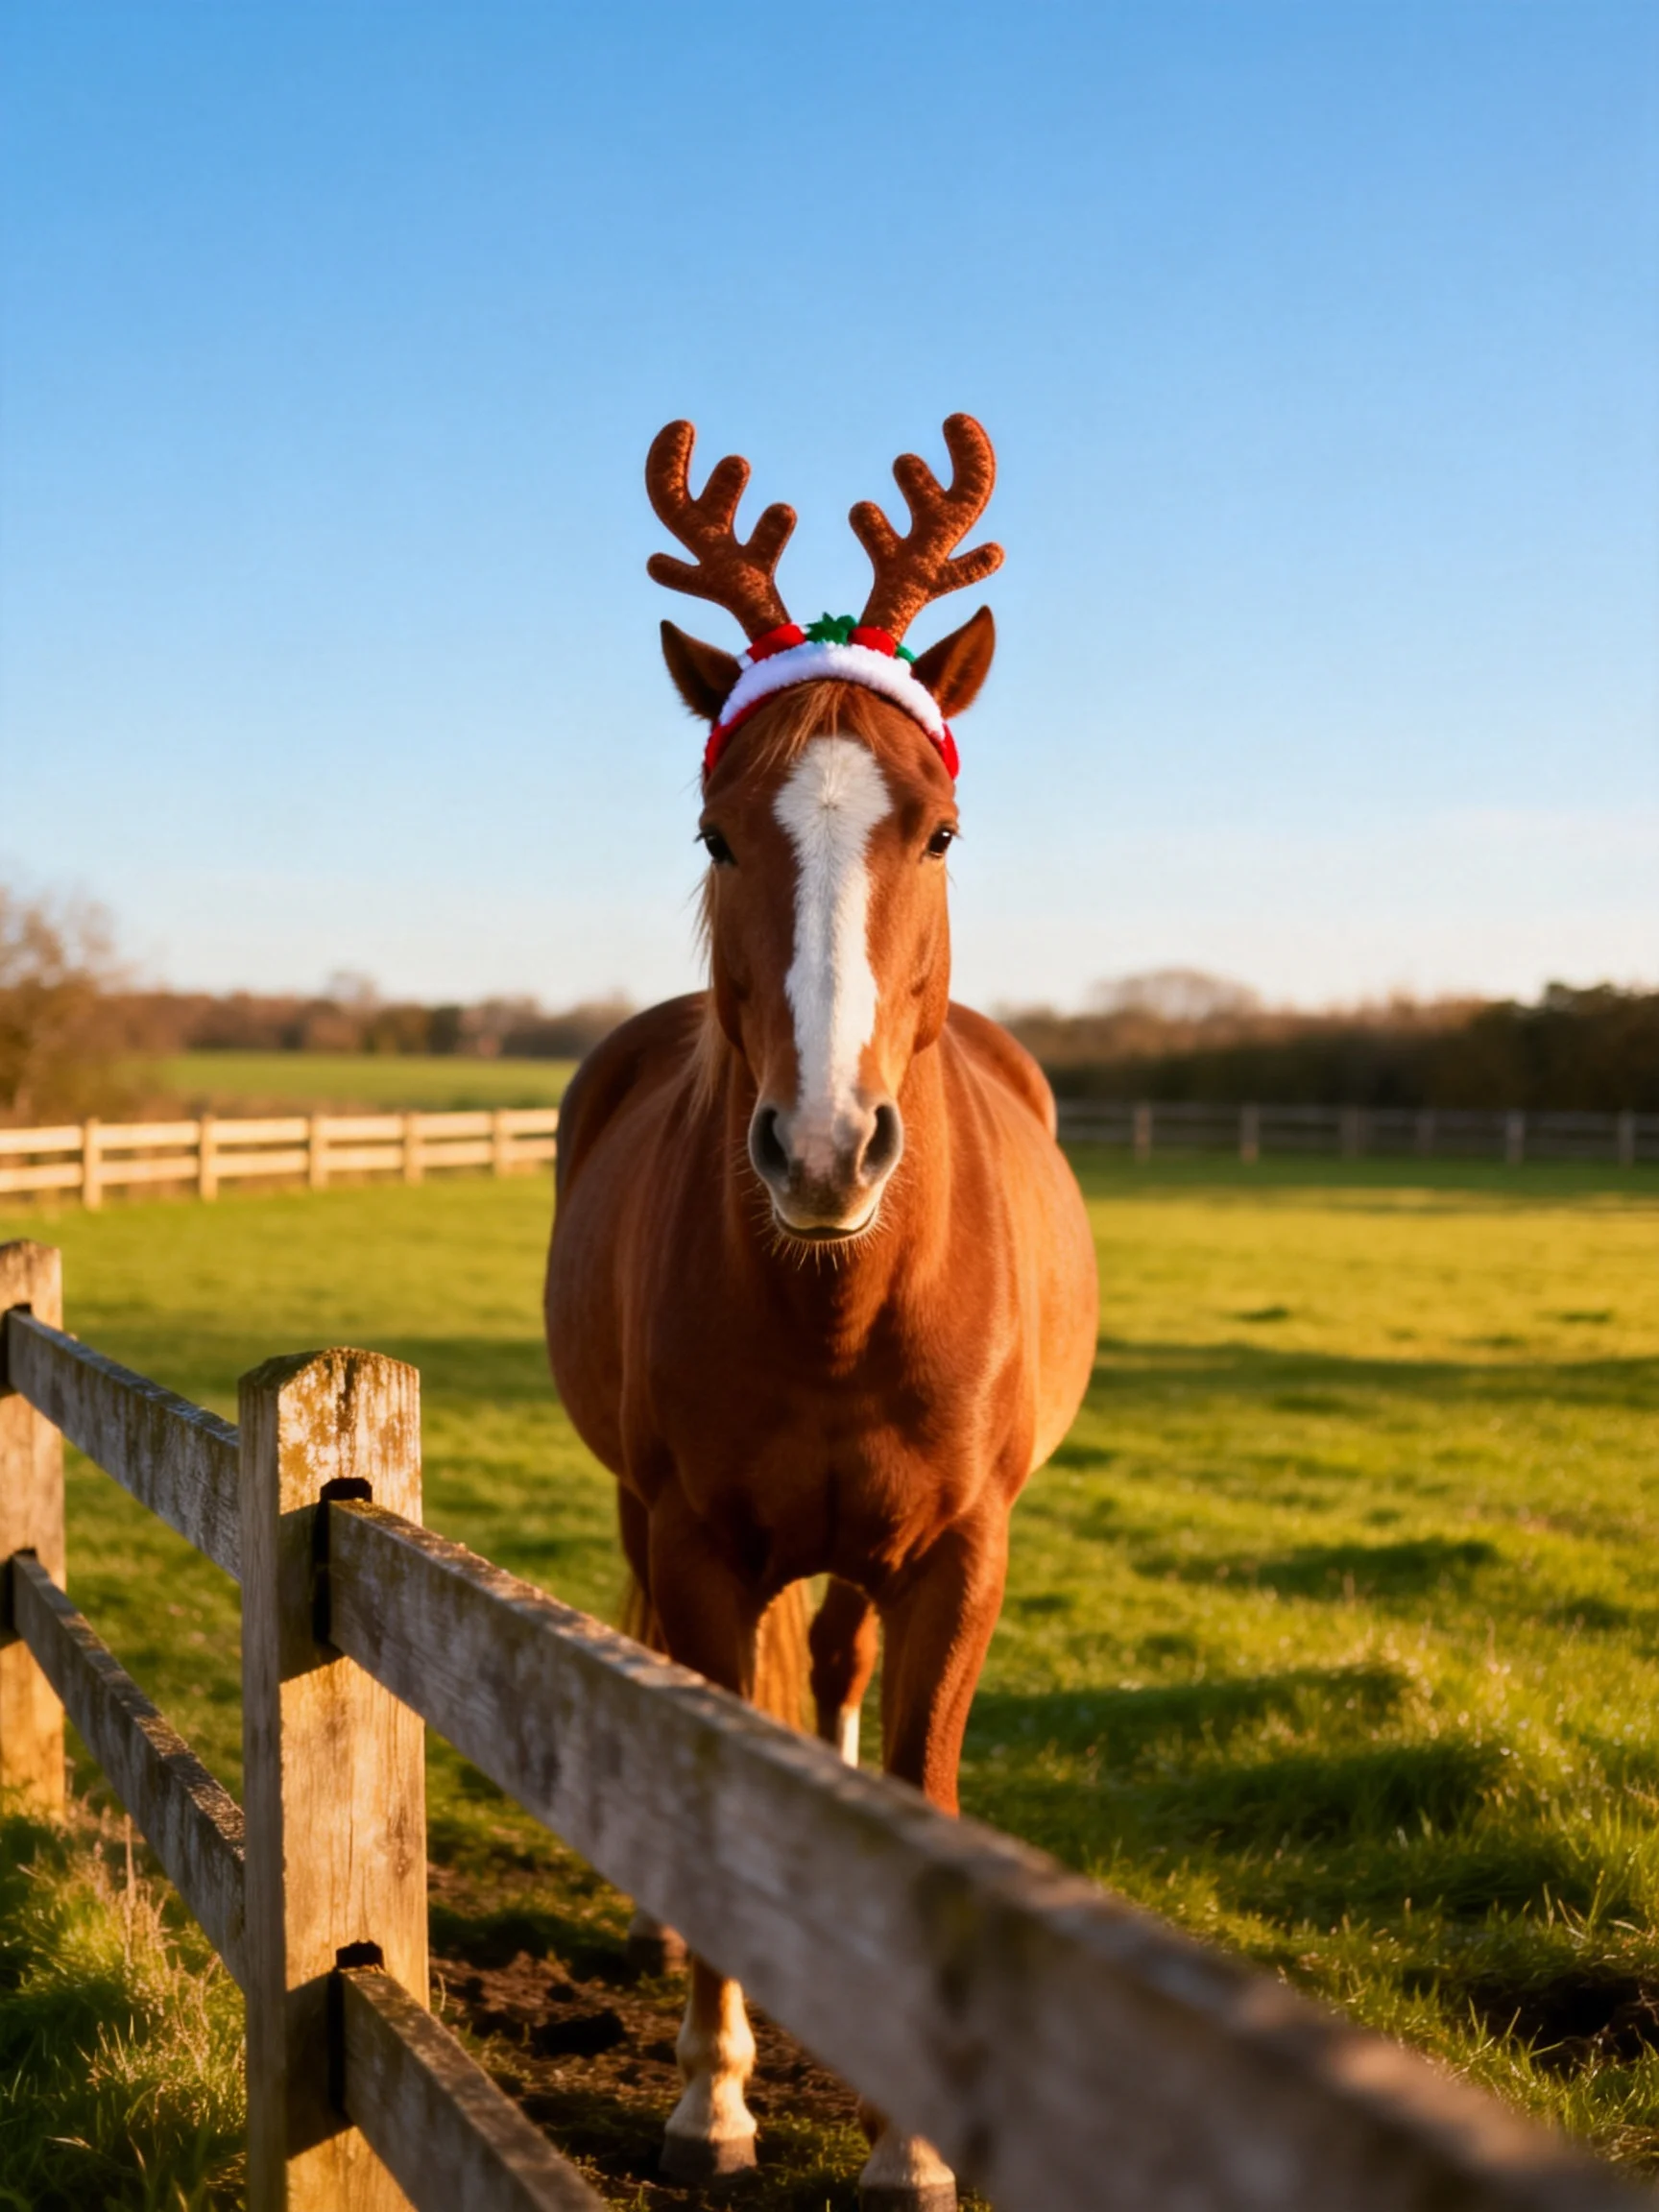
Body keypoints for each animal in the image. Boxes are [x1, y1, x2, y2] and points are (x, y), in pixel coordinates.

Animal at [544, 415, 1097, 2212]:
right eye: (719, 833)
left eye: (940, 831)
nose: (825, 1146)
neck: (839, 1311)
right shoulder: (695, 1538)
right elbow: (708, 1761)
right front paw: (709, 2100)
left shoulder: (958, 1551)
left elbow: (915, 1790)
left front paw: (909, 2148)